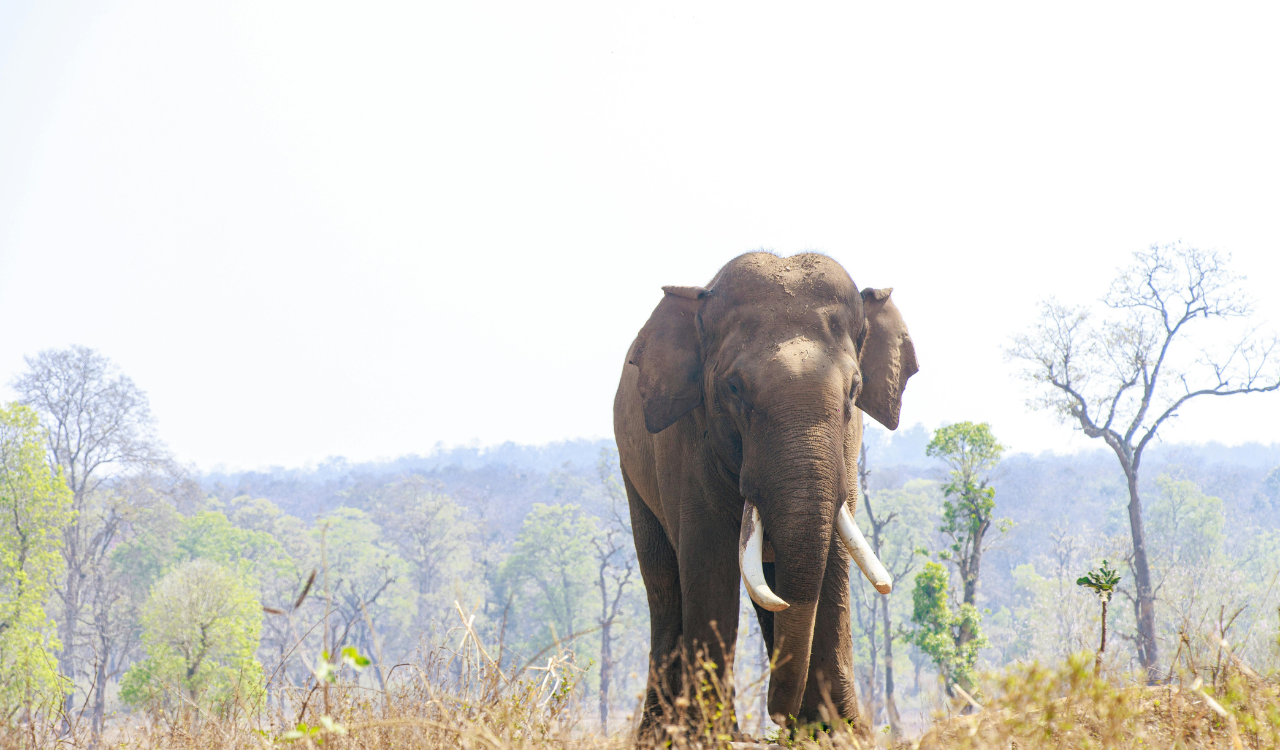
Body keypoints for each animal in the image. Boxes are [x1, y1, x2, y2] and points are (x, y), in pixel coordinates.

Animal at [612, 252, 918, 736]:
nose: (778, 716)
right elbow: (707, 562)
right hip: (632, 472)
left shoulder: (848, 445)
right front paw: (710, 736)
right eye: (734, 389)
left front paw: (839, 733)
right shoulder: (685, 442)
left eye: (854, 389)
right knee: (663, 584)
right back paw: (658, 734)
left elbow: (833, 560)